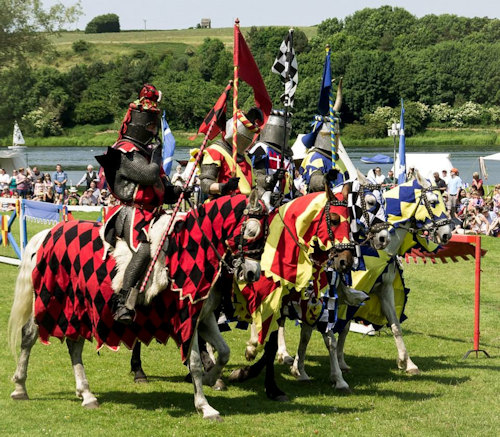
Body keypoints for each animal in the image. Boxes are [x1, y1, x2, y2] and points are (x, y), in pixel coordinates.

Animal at [5, 192, 268, 420]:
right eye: (251, 232)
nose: (252, 273)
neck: (192, 249)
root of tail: (47, 234)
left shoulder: (203, 317)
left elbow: (224, 352)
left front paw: (211, 378)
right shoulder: (187, 319)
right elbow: (193, 362)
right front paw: (205, 407)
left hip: (76, 308)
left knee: (74, 344)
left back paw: (86, 394)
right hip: (51, 301)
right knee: (29, 336)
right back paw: (20, 387)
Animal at [290, 170, 454, 388]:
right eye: (434, 201)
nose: (446, 234)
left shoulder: (381, 290)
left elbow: (393, 325)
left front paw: (408, 363)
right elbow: (323, 330)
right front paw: (305, 368)